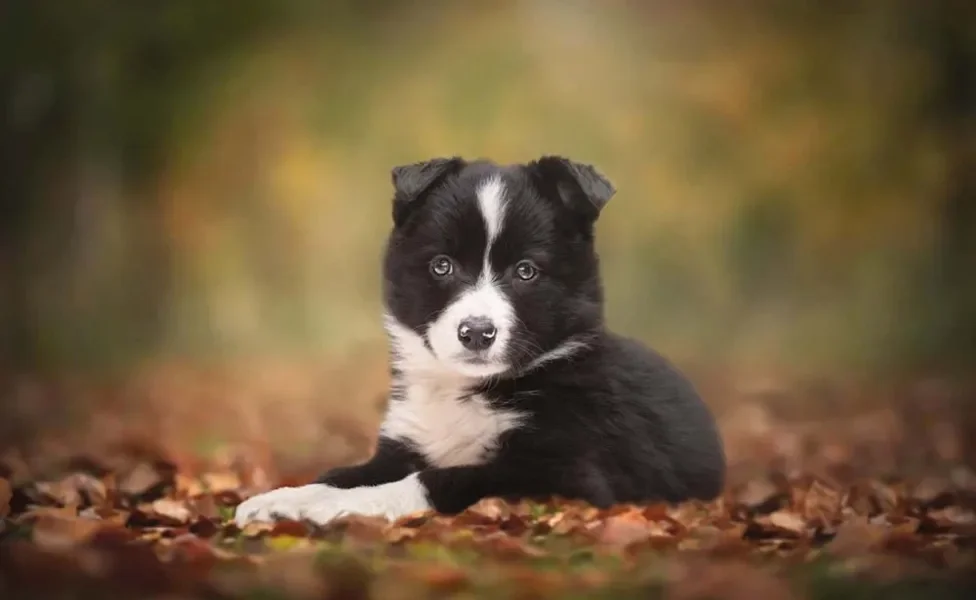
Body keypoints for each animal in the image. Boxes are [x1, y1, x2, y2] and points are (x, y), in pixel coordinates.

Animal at [234, 156, 724, 524]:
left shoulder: (565, 470)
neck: (468, 389)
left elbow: (438, 480)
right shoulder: (404, 443)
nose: (476, 333)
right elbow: (343, 472)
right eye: (442, 265)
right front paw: (282, 499)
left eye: (526, 270)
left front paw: (335, 508)